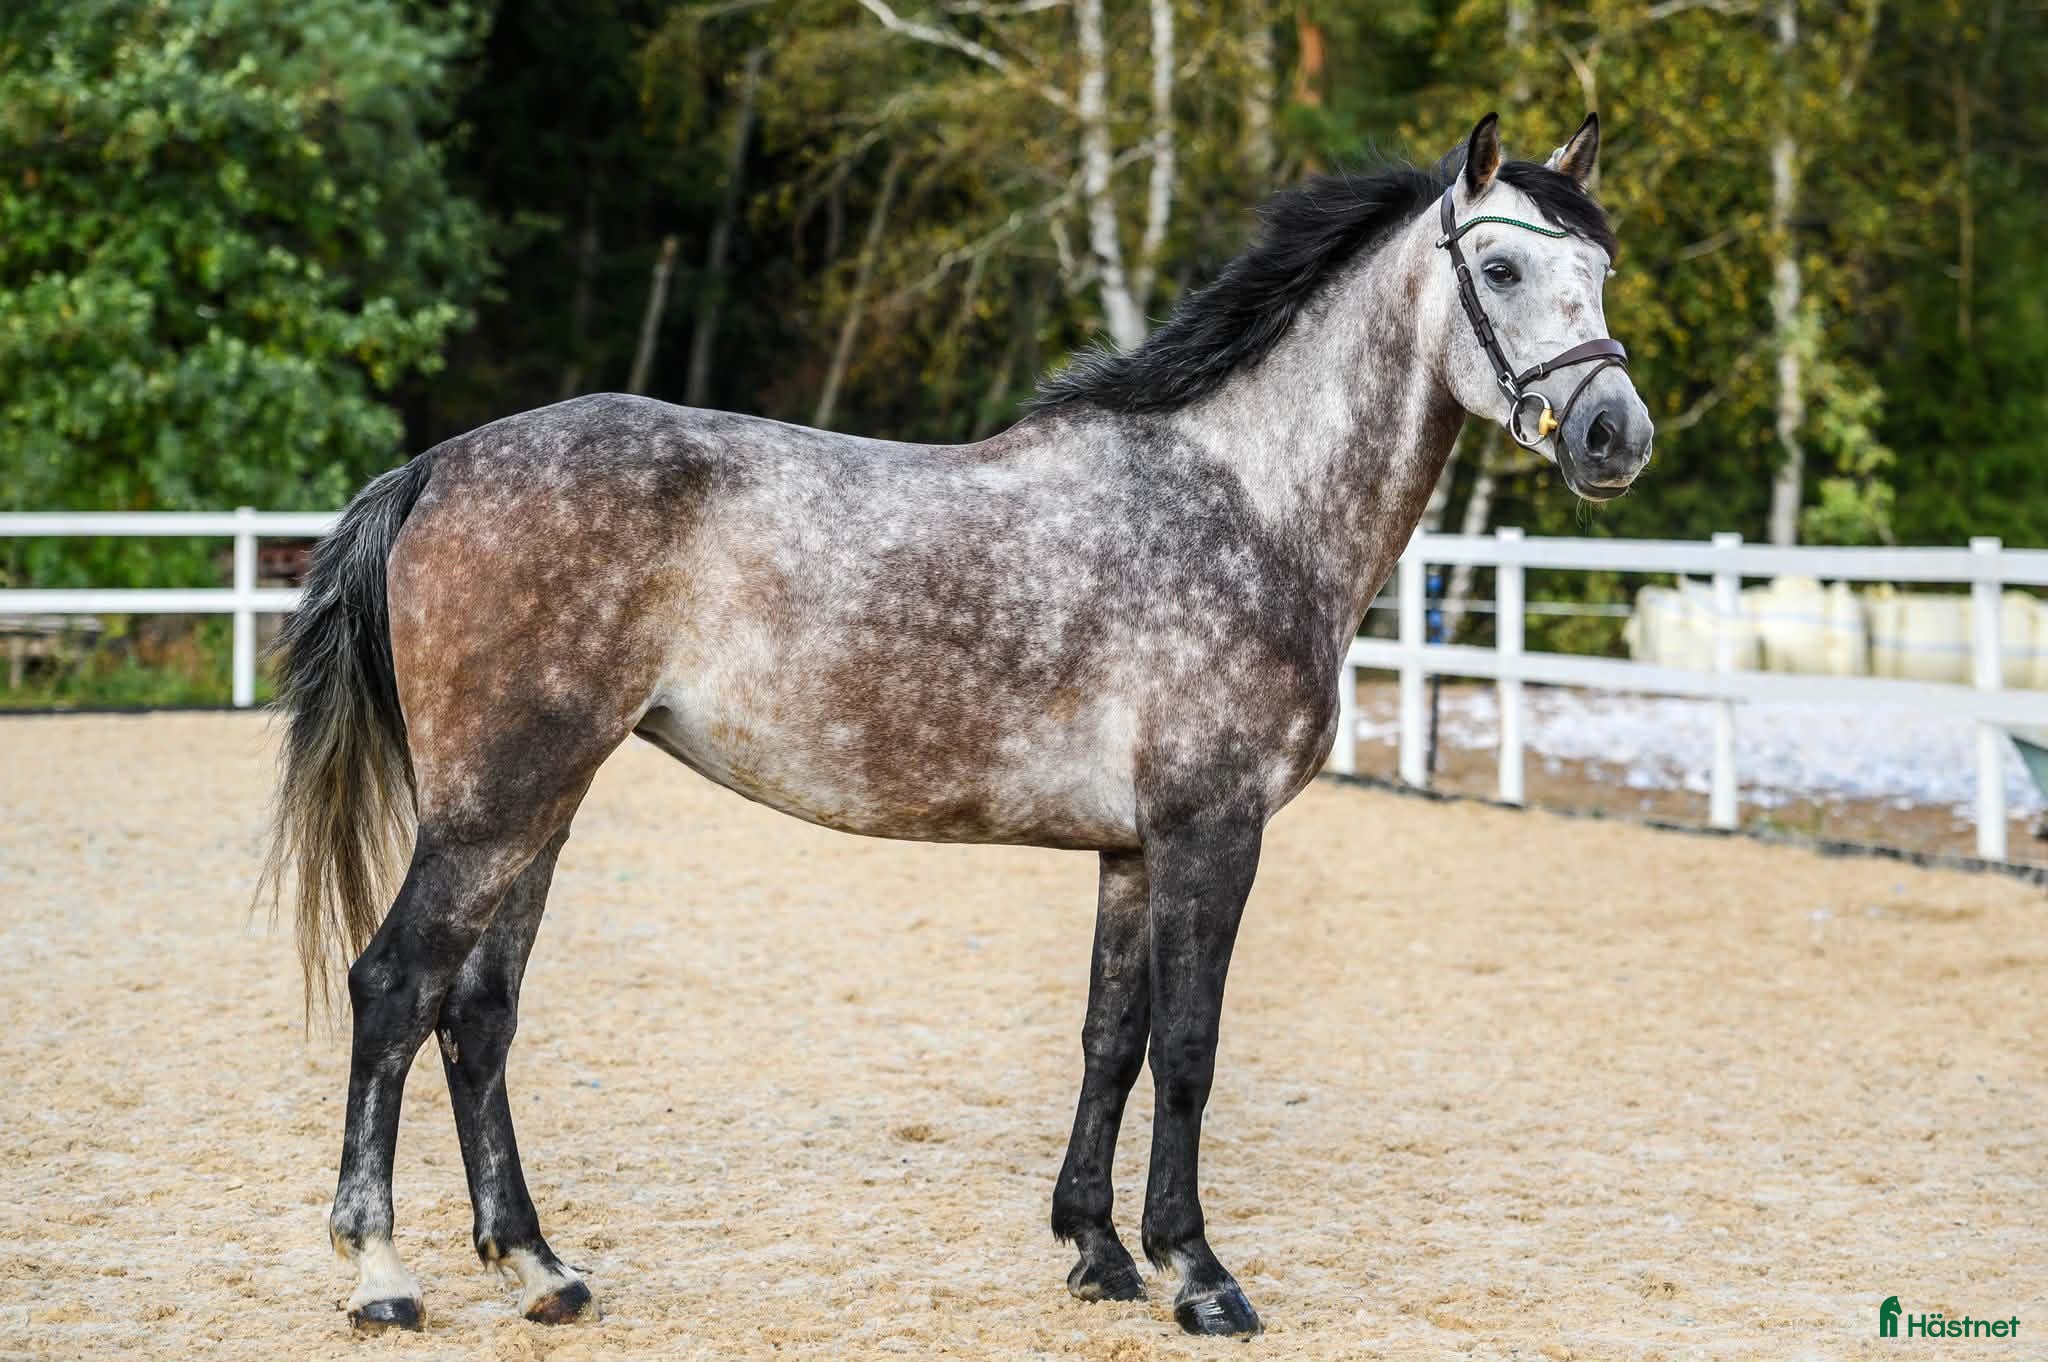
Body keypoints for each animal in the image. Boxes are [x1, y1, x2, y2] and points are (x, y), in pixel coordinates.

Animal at [262, 111, 1652, 1339]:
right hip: (496, 804)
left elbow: (1110, 1041)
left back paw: (539, 1269)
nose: (1612, 434)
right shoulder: (1210, 830)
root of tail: (438, 466)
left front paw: (1097, 1252)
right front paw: (1199, 1275)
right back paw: (382, 1275)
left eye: (1597, 269)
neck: (1244, 503)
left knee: (478, 1014)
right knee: (396, 987)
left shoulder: (1131, 851)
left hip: (541, 804)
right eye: (1499, 267)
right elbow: (1189, 1050)